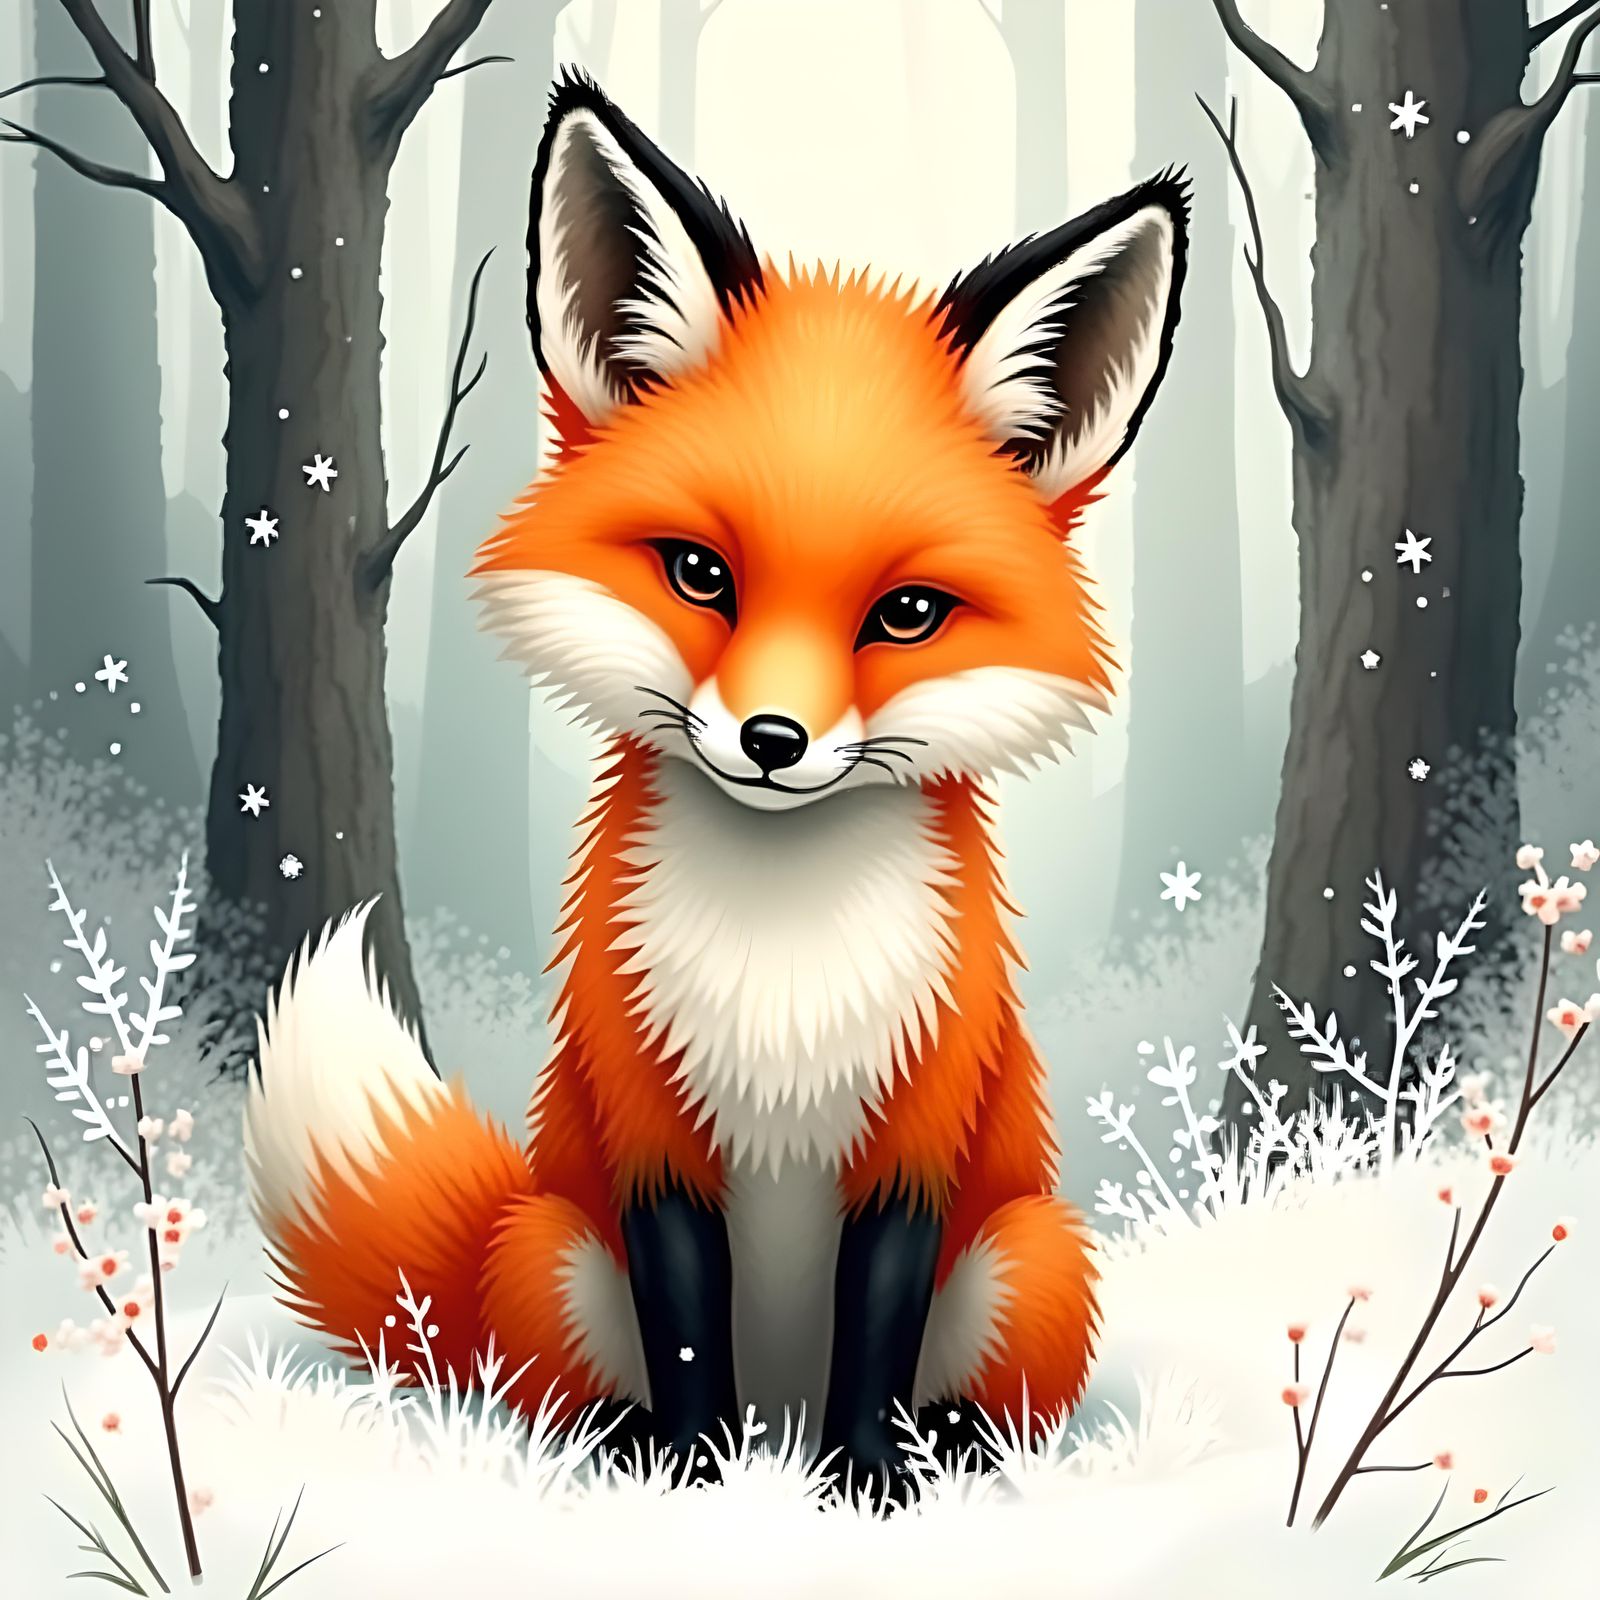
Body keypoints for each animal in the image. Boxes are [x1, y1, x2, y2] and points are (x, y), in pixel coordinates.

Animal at [244, 73, 1188, 1484]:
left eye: (907, 613)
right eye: (700, 574)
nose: (772, 739)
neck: (778, 951)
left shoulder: (915, 1138)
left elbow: (874, 1329)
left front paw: (864, 1490)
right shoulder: (649, 1134)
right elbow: (689, 1325)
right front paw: (695, 1487)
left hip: (1031, 1258)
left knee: (972, 1390)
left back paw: (943, 1453)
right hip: (553, 1254)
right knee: (570, 1384)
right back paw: (626, 1444)